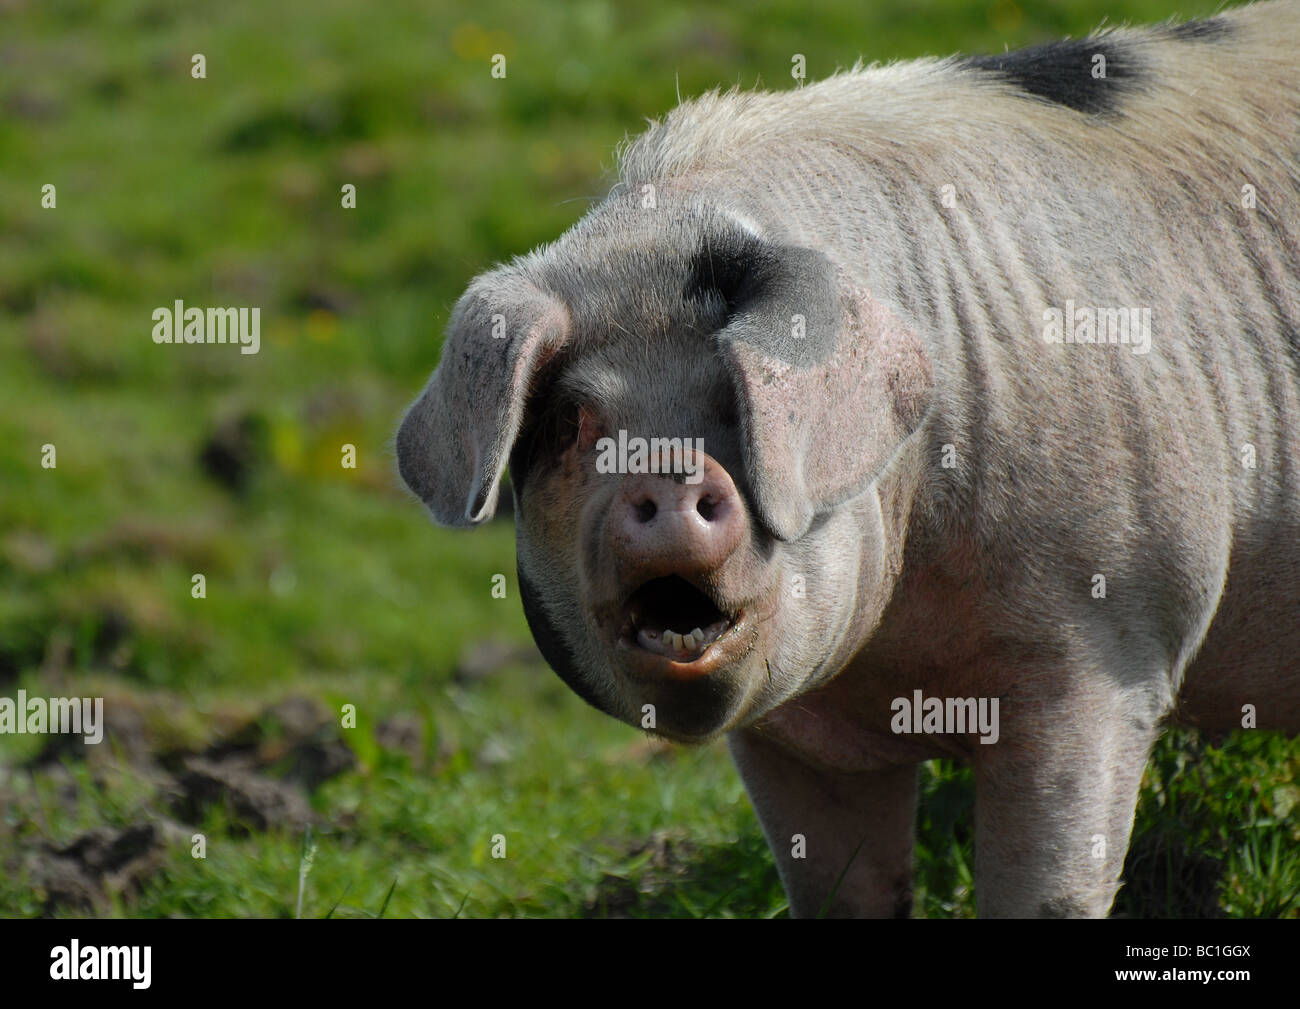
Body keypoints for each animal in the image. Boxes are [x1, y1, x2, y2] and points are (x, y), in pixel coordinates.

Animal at [395, 0, 1300, 915]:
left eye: (732, 399)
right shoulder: (798, 742)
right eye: (572, 421)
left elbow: (1048, 887)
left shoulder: (1108, 647)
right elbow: (844, 888)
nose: (669, 469)